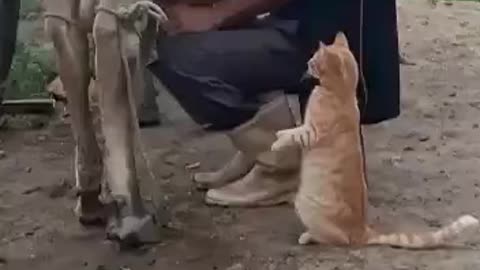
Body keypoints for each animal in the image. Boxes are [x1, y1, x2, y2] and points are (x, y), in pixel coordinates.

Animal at [272, 31, 478, 249]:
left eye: (313, 61)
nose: (306, 63)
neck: (342, 93)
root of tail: (362, 231)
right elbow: (292, 130)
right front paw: (279, 134)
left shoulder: (313, 131)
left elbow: (295, 134)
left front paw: (277, 141)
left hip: (305, 205)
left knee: (334, 239)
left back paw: (308, 236)